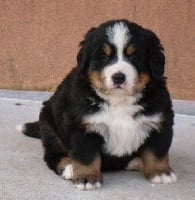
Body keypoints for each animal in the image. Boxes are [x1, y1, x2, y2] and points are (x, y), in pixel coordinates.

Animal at [21, 19, 177, 190]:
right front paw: (87, 178)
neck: (119, 100)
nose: (118, 77)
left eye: (134, 57)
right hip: (49, 127)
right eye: (104, 56)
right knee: (53, 156)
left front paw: (160, 173)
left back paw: (136, 161)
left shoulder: (159, 121)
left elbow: (157, 151)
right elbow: (86, 156)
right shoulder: (82, 126)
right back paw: (69, 167)